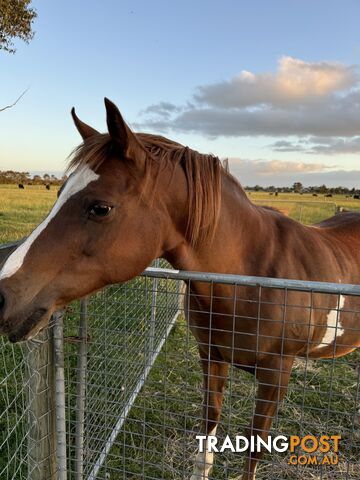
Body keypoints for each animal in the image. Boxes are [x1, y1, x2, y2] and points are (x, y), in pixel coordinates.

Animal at [0, 98, 360, 480]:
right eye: (58, 193)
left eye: (100, 207)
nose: (2, 295)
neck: (252, 280)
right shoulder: (211, 357)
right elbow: (208, 426)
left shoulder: (276, 376)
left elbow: (254, 449)